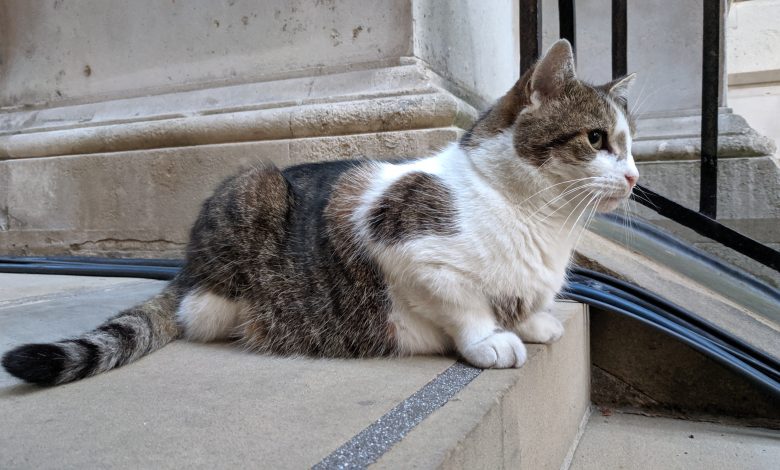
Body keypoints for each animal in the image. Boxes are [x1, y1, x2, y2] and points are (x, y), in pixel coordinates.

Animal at [0, 39, 636, 386]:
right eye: (597, 138)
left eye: (631, 146)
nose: (634, 176)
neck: (542, 223)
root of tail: (183, 268)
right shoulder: (405, 244)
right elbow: (466, 306)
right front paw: (493, 341)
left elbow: (523, 301)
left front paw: (534, 321)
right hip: (251, 187)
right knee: (199, 312)